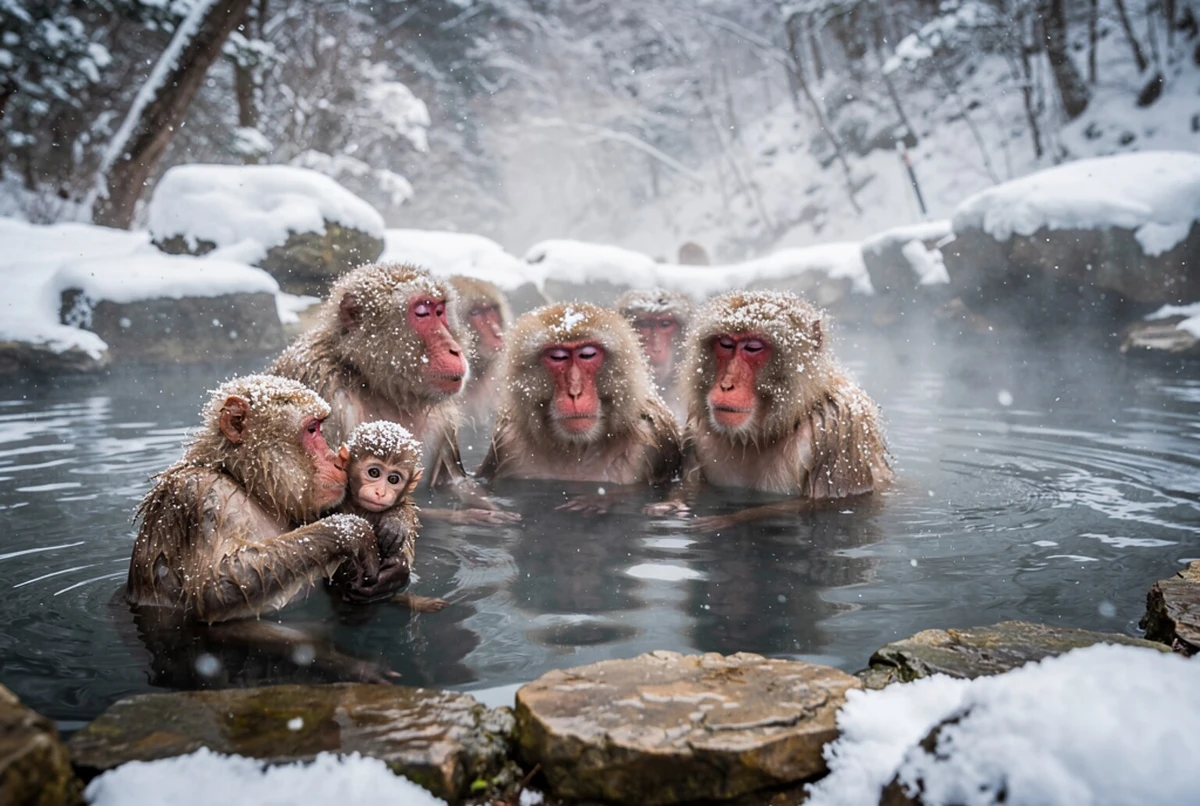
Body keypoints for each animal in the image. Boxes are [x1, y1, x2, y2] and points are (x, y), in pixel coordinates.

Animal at [126, 374, 397, 624]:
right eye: (311, 429)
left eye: (320, 427)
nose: (338, 460)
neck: (247, 485)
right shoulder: (200, 496)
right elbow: (214, 587)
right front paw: (350, 530)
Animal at [477, 302, 682, 510]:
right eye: (558, 357)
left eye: (587, 355)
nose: (575, 391)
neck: (577, 447)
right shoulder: (507, 441)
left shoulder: (650, 439)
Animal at [648, 291, 893, 530]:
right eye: (725, 344)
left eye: (753, 348)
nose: (727, 385)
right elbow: (689, 486)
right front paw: (670, 504)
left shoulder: (840, 425)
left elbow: (830, 502)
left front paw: (729, 519)